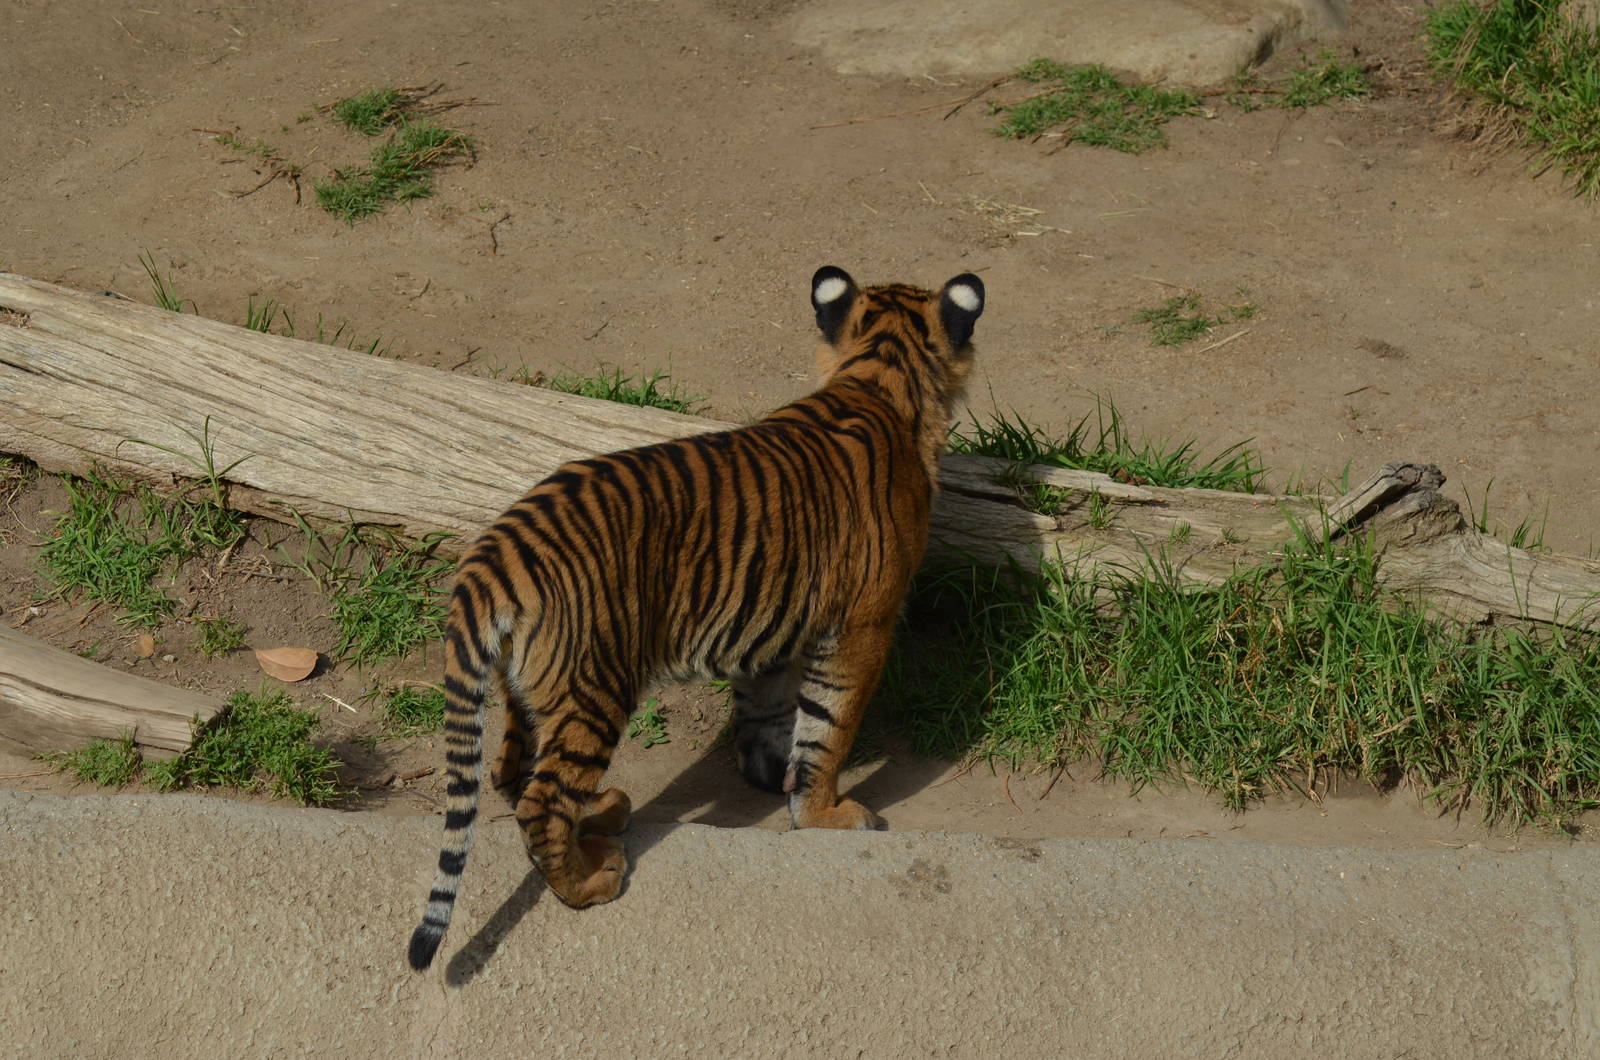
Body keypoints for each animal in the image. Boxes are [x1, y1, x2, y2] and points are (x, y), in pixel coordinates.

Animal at [407, 265, 985, 971]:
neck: (879, 370)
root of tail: (493, 554)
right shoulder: (862, 628)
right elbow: (830, 727)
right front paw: (825, 814)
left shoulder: (779, 623)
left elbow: (773, 710)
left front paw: (771, 773)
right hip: (595, 686)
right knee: (542, 804)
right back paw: (590, 882)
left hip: (527, 689)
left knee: (511, 774)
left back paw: (602, 815)